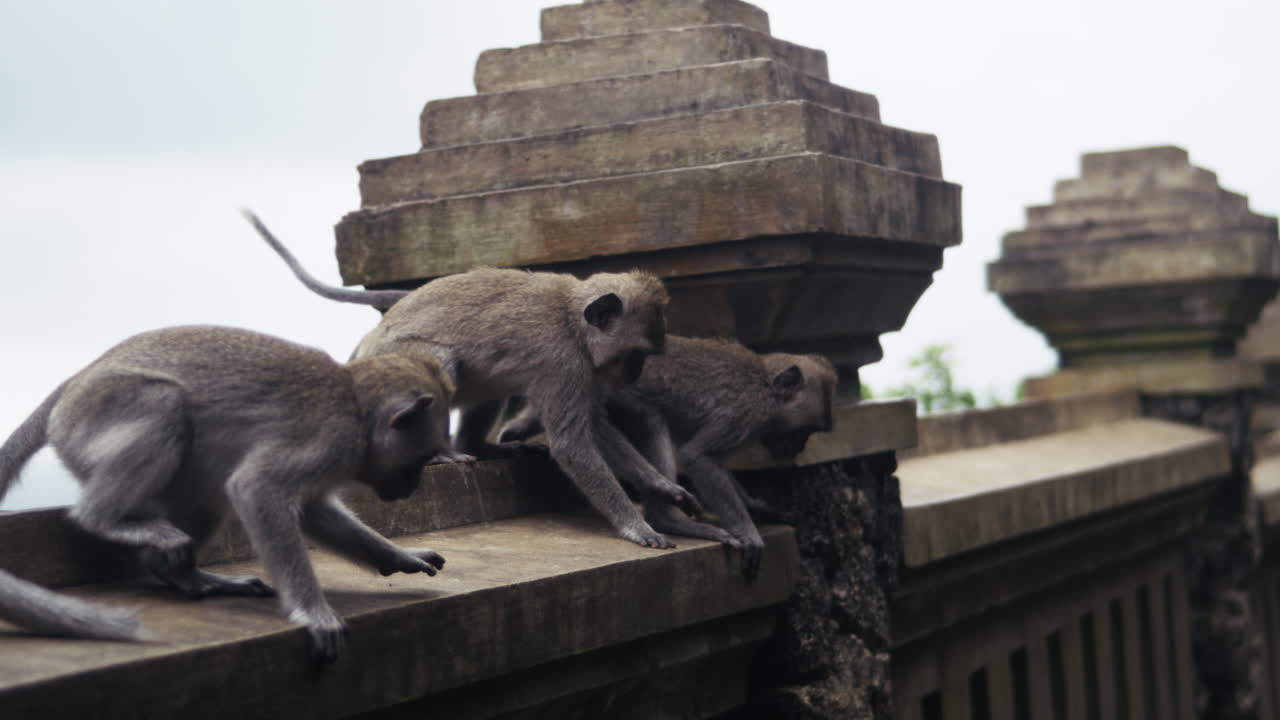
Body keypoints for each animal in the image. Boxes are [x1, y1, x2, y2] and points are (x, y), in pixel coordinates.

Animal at [0, 325, 462, 663]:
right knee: (165, 406)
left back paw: (187, 577)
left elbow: (313, 511)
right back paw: (105, 519)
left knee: (208, 490)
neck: (356, 408)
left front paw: (399, 556)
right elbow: (257, 489)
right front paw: (313, 613)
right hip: (95, 415)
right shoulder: (331, 439)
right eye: (420, 459)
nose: (412, 487)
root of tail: (71, 387)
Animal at [245, 213, 701, 550]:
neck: (572, 319)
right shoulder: (563, 361)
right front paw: (635, 526)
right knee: (443, 364)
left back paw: (479, 447)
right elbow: (573, 443)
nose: (634, 373)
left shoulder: (583, 369)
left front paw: (662, 486)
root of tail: (367, 344)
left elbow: (595, 425)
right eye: (636, 355)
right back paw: (443, 452)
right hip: (393, 358)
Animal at [498, 336, 838, 580]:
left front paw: (757, 506)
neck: (767, 385)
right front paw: (748, 532)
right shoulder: (747, 413)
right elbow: (699, 457)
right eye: (804, 431)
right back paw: (668, 519)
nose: (799, 447)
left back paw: (517, 429)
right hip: (616, 398)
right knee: (650, 420)